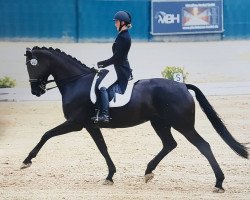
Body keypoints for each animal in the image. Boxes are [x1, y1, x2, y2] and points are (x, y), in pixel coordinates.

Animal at [21, 47, 248, 192]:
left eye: (33, 65)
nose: (35, 91)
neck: (77, 82)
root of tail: (182, 85)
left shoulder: (76, 123)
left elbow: (46, 134)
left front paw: (27, 161)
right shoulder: (90, 125)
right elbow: (103, 148)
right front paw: (110, 176)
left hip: (182, 124)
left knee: (203, 145)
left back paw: (219, 183)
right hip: (160, 123)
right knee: (170, 144)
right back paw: (148, 172)